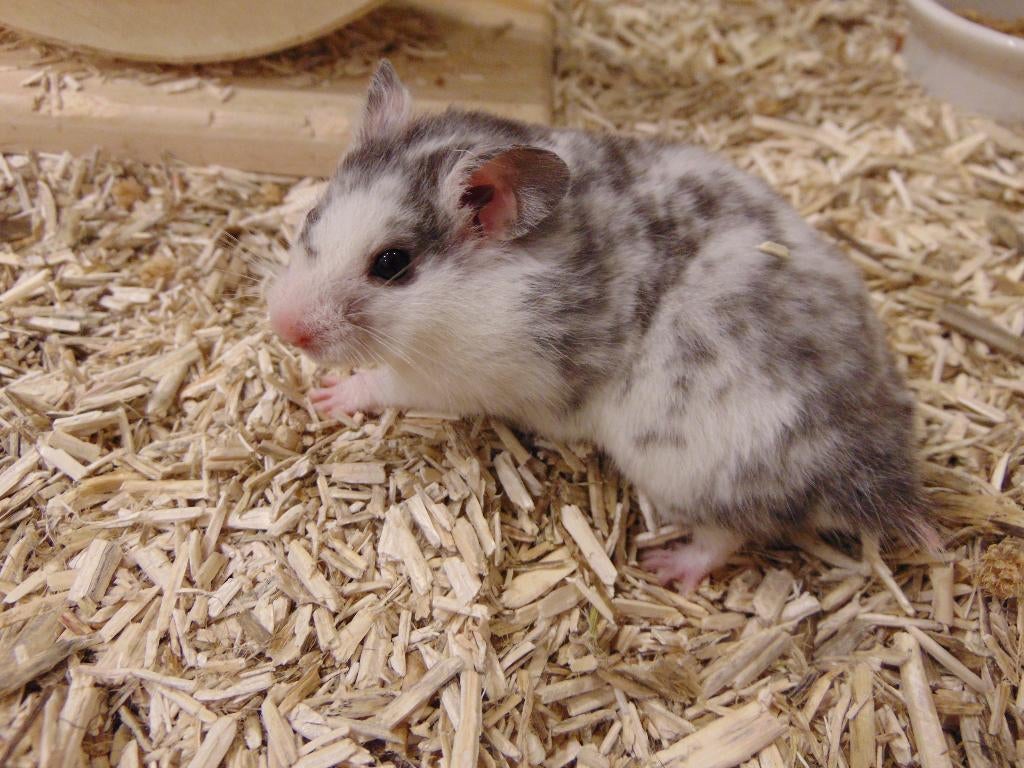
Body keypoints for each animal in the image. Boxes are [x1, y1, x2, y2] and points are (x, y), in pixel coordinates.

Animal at [267, 61, 936, 593]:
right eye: (311, 217)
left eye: (391, 264)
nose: (283, 328)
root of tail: (878, 476)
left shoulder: (454, 378)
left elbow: (384, 383)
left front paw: (327, 396)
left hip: (687, 464)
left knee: (734, 532)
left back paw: (668, 567)